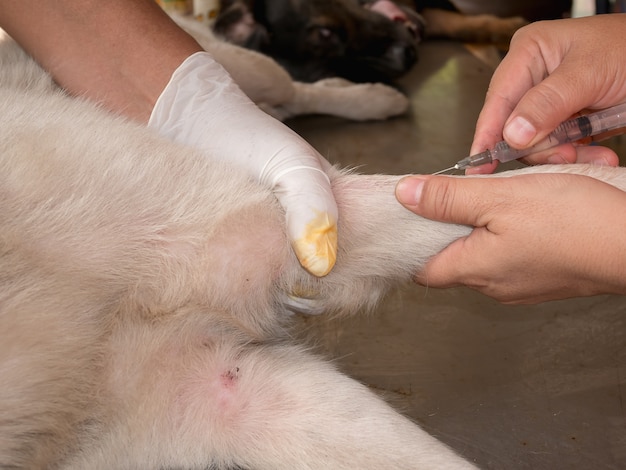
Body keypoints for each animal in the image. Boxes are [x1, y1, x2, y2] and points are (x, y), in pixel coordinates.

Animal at [1, 33, 624, 470]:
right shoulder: (227, 392)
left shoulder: (250, 228)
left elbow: (544, 177)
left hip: (246, 70)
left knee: (295, 91)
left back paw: (373, 96)